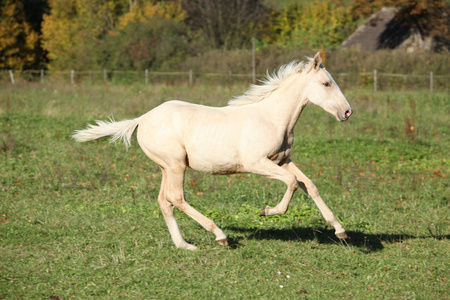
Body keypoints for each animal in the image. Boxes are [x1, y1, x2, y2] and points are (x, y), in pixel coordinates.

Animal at [73, 52, 352, 251]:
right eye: (326, 83)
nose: (347, 112)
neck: (272, 118)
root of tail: (142, 118)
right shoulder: (256, 163)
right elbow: (293, 183)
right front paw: (266, 211)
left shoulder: (283, 161)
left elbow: (310, 185)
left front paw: (340, 231)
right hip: (175, 165)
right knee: (176, 198)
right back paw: (220, 235)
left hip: (166, 167)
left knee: (165, 201)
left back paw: (184, 245)